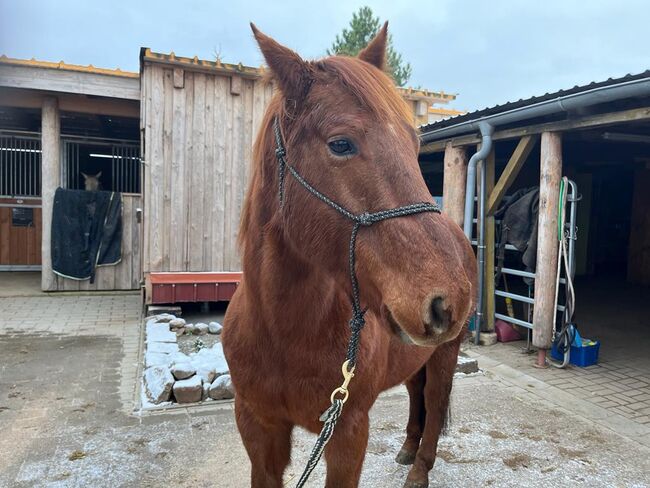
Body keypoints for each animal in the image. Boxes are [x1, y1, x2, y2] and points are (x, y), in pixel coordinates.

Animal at [223, 23, 476, 488]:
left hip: (445, 354)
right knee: (416, 393)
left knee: (434, 400)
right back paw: (407, 448)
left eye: (414, 144)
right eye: (341, 144)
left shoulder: (347, 431)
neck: (283, 333)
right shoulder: (258, 430)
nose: (448, 299)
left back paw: (419, 468)